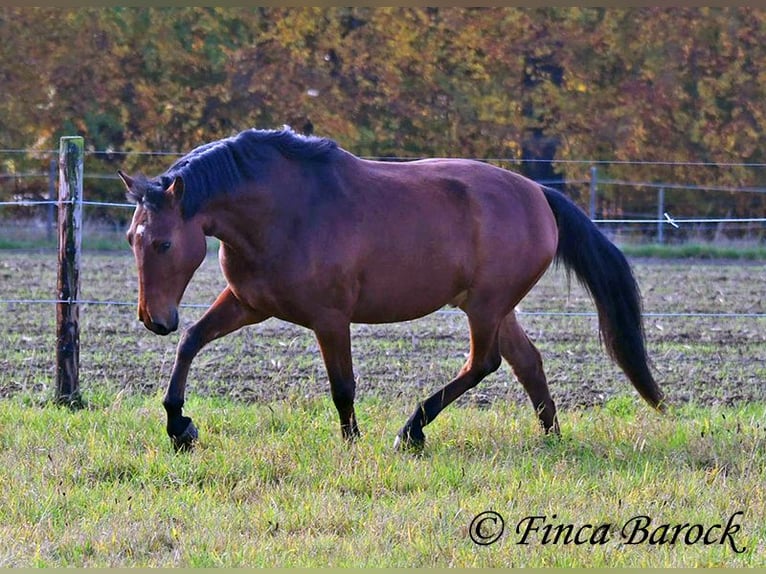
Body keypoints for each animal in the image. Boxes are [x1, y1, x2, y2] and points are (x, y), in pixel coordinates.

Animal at [120, 128, 664, 452]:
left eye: (164, 243)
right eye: (131, 238)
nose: (154, 319)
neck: (283, 211)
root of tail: (539, 194)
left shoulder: (330, 318)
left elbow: (342, 385)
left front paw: (352, 443)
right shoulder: (247, 304)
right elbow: (191, 342)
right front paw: (180, 427)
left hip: (486, 306)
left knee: (484, 363)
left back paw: (412, 430)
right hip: (492, 306)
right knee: (526, 361)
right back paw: (550, 434)